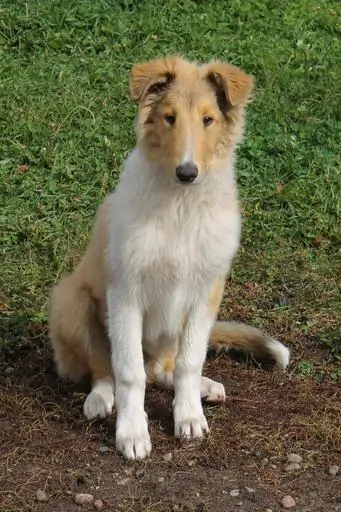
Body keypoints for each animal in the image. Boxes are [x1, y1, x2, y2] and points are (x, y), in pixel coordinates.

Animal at [49, 55, 290, 460]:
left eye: (208, 119)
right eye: (169, 118)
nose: (187, 172)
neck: (181, 205)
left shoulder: (206, 292)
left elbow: (189, 362)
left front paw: (189, 417)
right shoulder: (126, 292)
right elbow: (128, 372)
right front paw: (132, 433)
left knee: (164, 369)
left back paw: (204, 387)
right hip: (72, 301)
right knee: (105, 368)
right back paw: (99, 400)